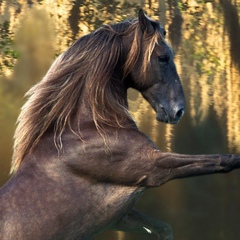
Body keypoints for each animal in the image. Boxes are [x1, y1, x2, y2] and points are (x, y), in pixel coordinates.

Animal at [0, 9, 240, 240]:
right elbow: (221, 160)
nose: (178, 110)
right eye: (163, 57)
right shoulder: (152, 167)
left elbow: (163, 229)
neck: (89, 128)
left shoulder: (120, 217)